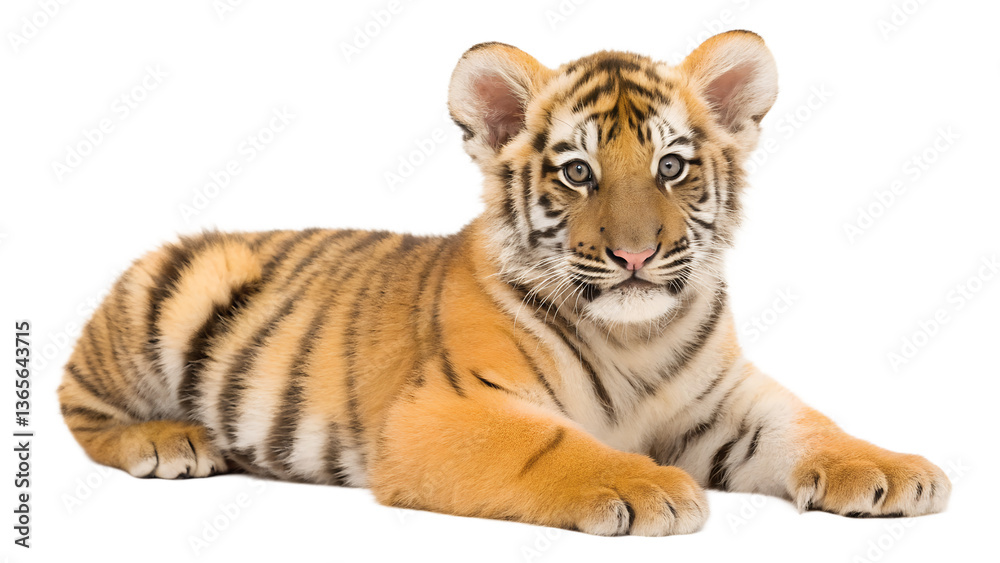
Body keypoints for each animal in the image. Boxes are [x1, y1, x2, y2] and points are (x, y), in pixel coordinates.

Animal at [58, 30, 950, 536]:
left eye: (671, 166)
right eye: (578, 172)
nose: (635, 255)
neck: (637, 331)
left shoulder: (727, 400)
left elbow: (810, 425)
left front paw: (895, 469)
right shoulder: (448, 410)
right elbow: (553, 443)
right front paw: (648, 485)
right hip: (165, 303)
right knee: (78, 408)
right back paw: (172, 441)